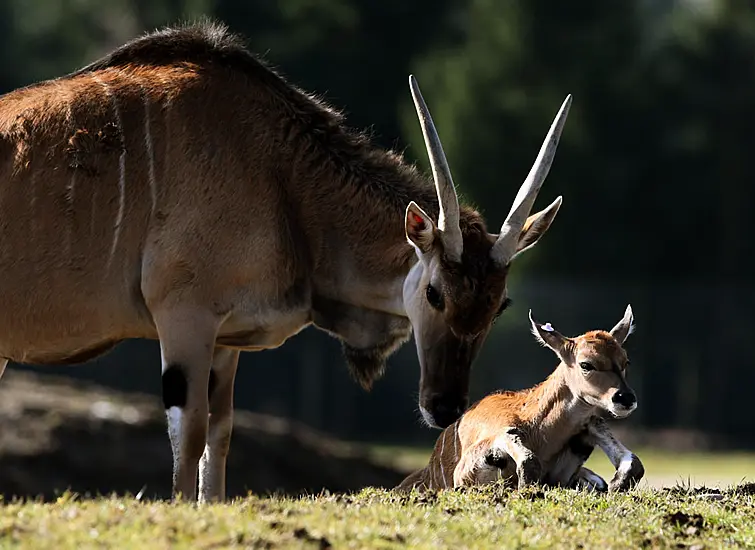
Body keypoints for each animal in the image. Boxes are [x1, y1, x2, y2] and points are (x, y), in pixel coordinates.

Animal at [0, 23, 572, 502]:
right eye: (434, 292)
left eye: (498, 306)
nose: (446, 407)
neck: (280, 172)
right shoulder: (184, 318)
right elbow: (189, 433)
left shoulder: (225, 341)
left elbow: (219, 435)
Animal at [396, 308, 644, 494]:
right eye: (586, 364)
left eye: (626, 361)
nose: (625, 398)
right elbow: (525, 457)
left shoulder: (589, 428)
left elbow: (635, 464)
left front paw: (615, 484)